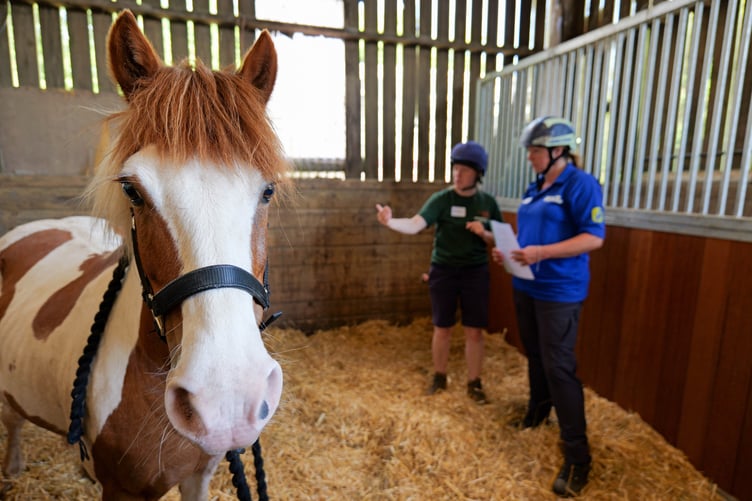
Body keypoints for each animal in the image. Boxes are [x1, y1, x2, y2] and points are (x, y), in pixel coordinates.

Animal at [0, 10, 289, 500]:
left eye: (267, 190)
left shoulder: (200, 473)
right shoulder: (123, 491)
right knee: (11, 418)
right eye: (132, 190)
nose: (226, 399)